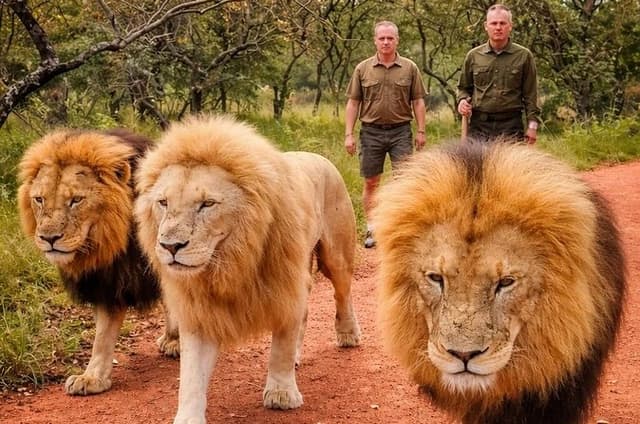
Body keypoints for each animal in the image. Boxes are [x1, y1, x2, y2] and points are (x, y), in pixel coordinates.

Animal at [17, 129, 179, 396]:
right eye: (39, 199)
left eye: (76, 200)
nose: (49, 239)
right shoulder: (108, 281)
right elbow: (102, 337)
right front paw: (92, 378)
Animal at [134, 115, 361, 423]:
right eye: (163, 202)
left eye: (207, 204)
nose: (170, 246)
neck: (230, 262)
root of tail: (318, 156)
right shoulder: (199, 310)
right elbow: (191, 376)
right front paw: (188, 416)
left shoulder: (285, 286)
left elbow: (281, 347)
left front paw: (281, 394)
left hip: (336, 255)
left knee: (342, 293)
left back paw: (348, 334)